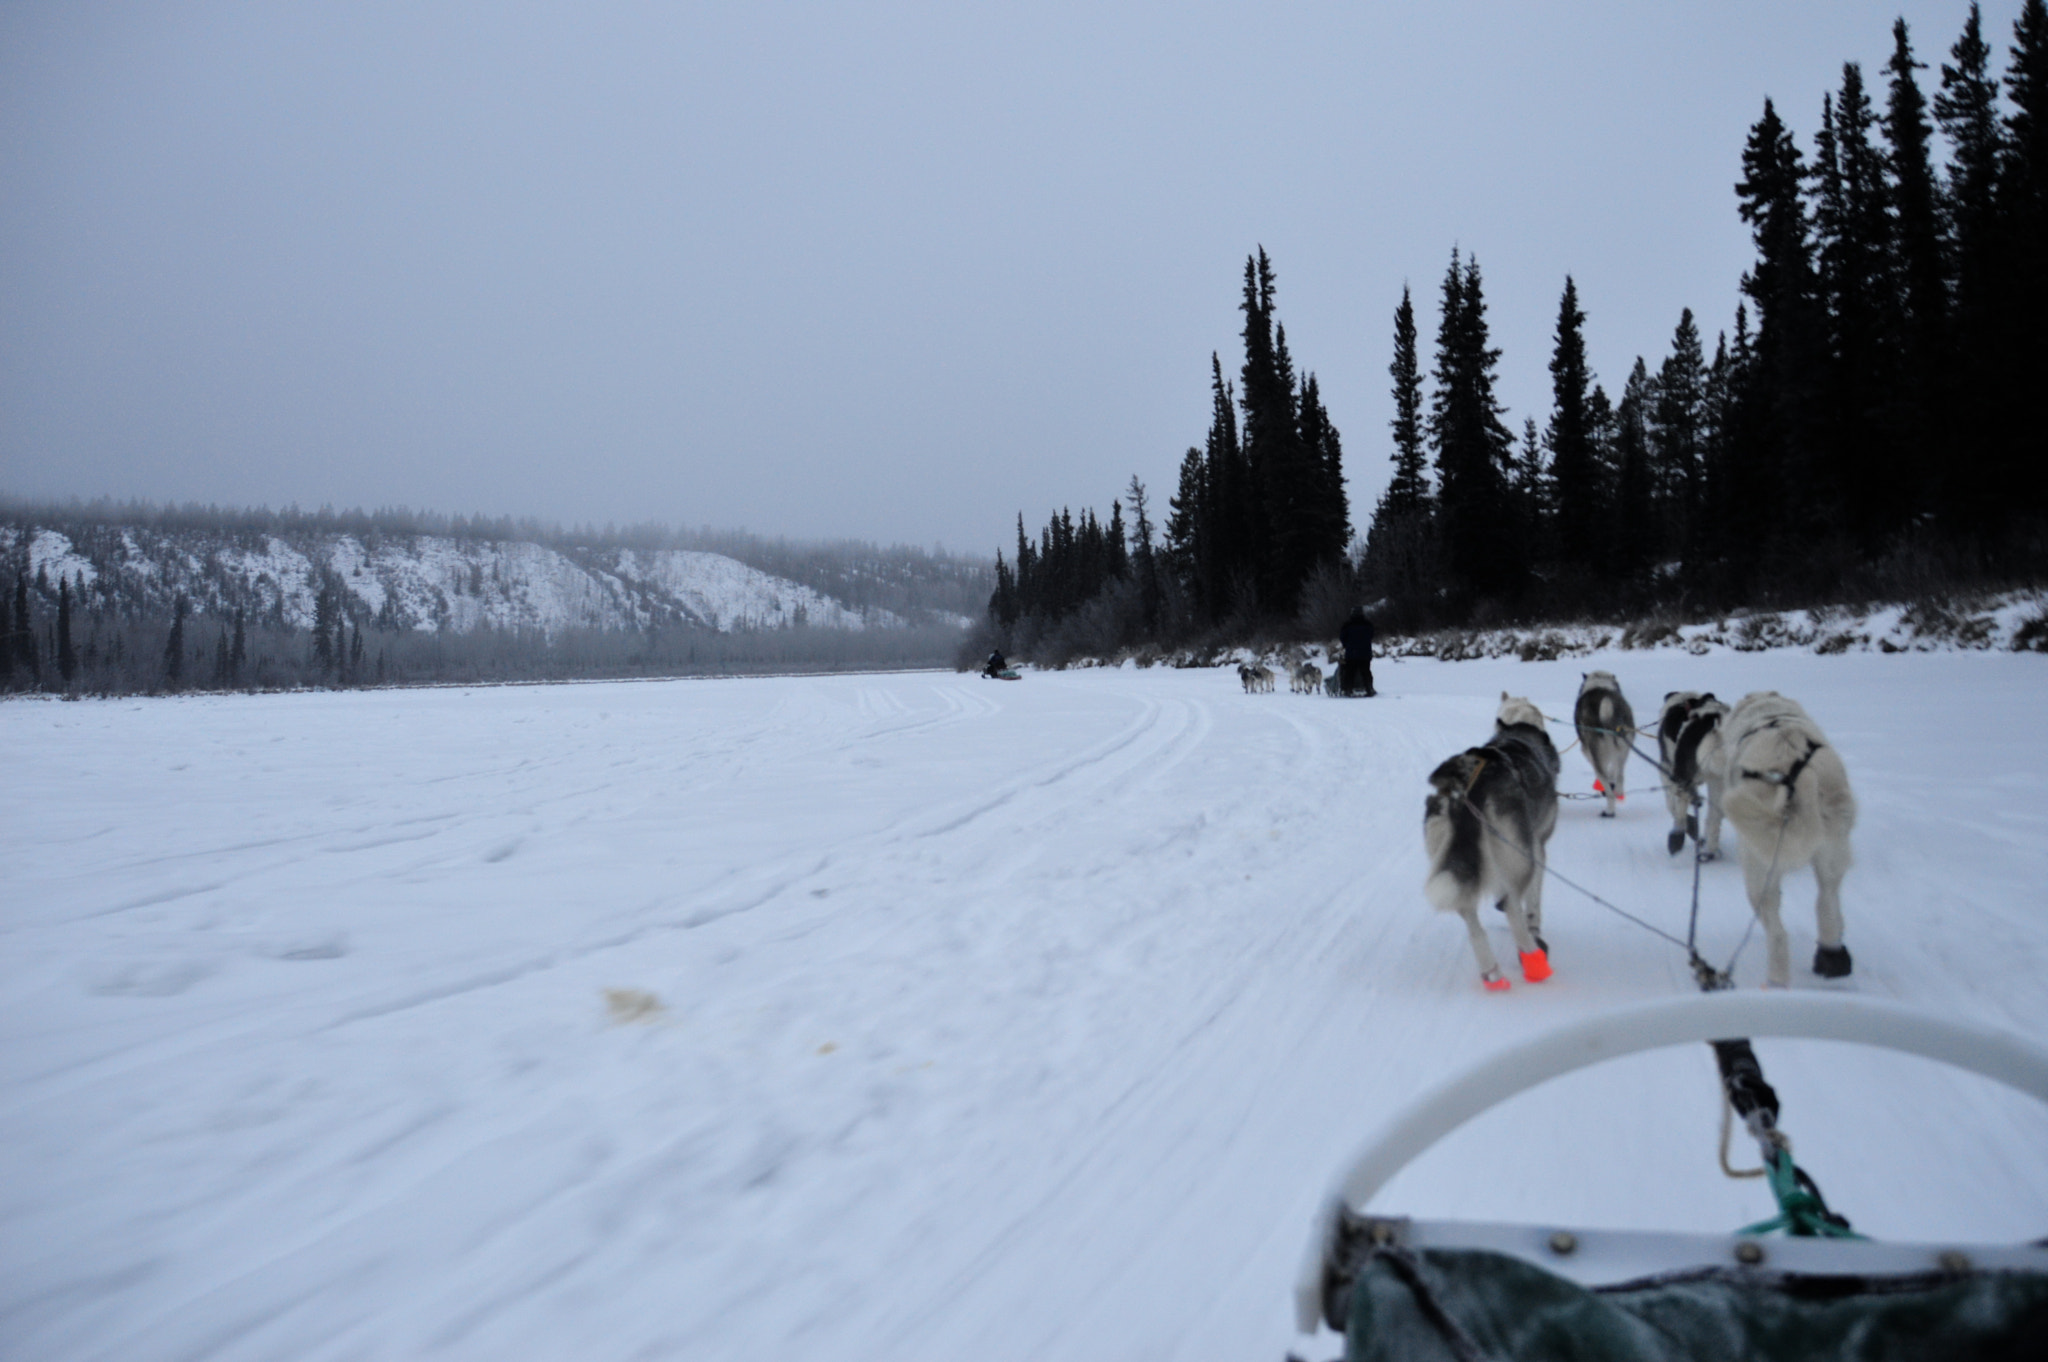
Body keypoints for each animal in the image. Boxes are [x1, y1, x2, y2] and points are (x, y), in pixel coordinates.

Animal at [1425, 692, 1564, 987]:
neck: (1518, 730)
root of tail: (1468, 785)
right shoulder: (1538, 846)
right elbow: (1532, 904)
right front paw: (1534, 927)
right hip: (1521, 855)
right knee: (1513, 908)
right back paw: (1533, 958)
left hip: (1451, 864)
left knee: (1470, 918)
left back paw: (1492, 972)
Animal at [1572, 667, 1638, 819]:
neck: (1599, 684)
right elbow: (1613, 771)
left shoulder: (1587, 752)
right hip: (1625, 749)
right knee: (1620, 774)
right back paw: (1618, 790)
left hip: (1597, 753)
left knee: (1607, 787)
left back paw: (1609, 810)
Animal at [1646, 696, 1728, 856]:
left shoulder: (1668, 772)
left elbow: (1673, 804)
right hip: (1717, 781)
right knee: (1714, 817)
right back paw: (1710, 849)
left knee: (1682, 806)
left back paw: (1678, 835)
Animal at [1712, 692, 1859, 987]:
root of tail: (1802, 775)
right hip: (1832, 853)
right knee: (1827, 905)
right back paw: (1832, 955)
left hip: (1759, 869)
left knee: (1778, 934)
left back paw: (1776, 980)